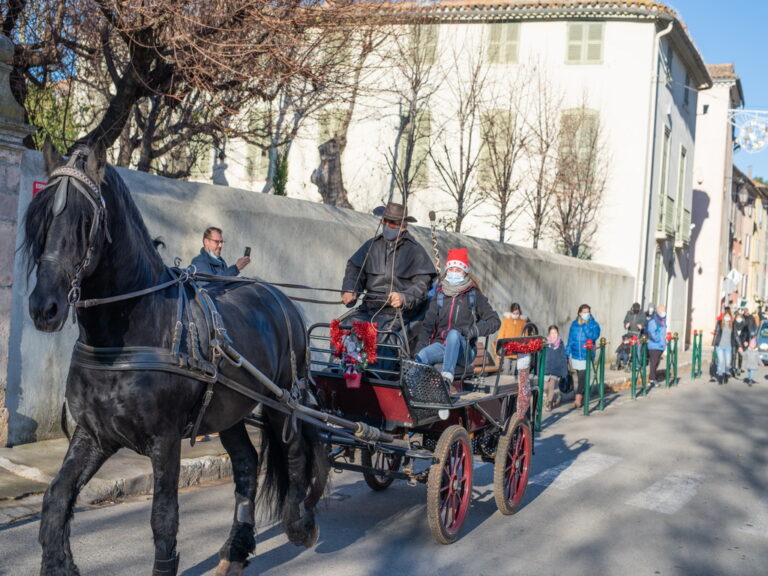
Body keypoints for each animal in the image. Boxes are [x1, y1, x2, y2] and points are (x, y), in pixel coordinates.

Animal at [23, 141, 330, 576]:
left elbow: (164, 516)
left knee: (295, 453)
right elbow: (56, 497)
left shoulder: (164, 438)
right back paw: (235, 549)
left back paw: (299, 525)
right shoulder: (95, 434)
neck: (126, 334)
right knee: (246, 464)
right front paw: (59, 563)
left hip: (282, 402)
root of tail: (279, 297)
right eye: (40, 217)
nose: (43, 308)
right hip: (229, 411)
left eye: (85, 220)